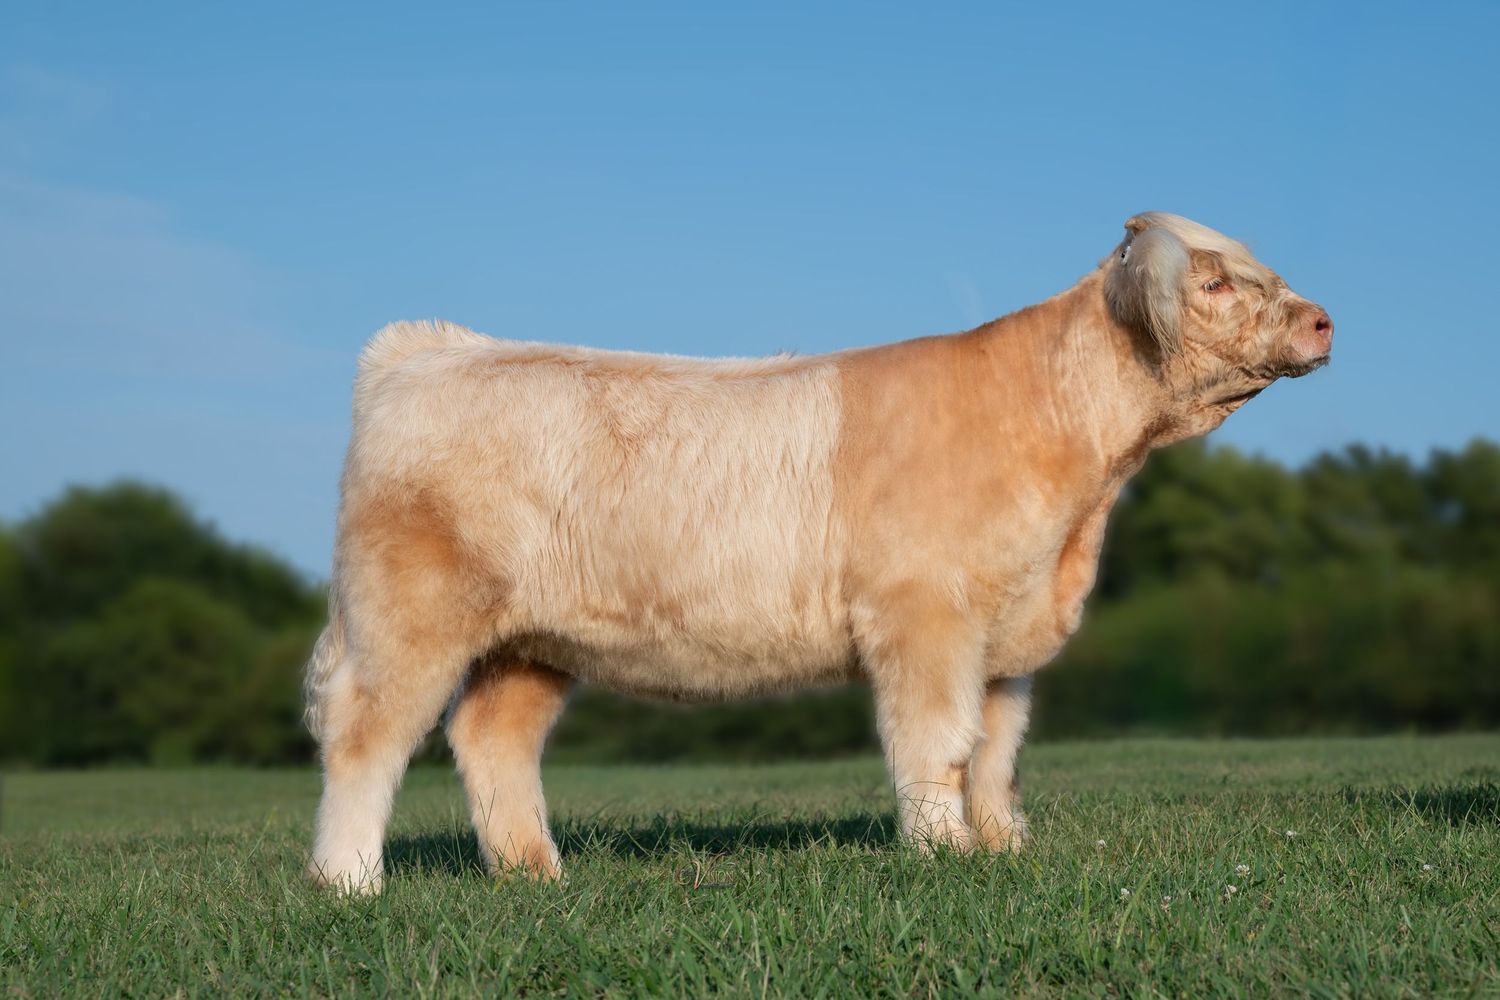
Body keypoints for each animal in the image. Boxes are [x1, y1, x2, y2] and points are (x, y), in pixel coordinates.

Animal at [304, 212, 1332, 893]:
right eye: (1215, 283)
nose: (1323, 319)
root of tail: (429, 351)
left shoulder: (1007, 637)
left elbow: (997, 752)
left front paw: (1004, 850)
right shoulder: (925, 616)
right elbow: (939, 742)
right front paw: (944, 853)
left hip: (532, 640)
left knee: (492, 739)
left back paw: (534, 875)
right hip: (408, 610)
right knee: (365, 734)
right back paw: (348, 881)